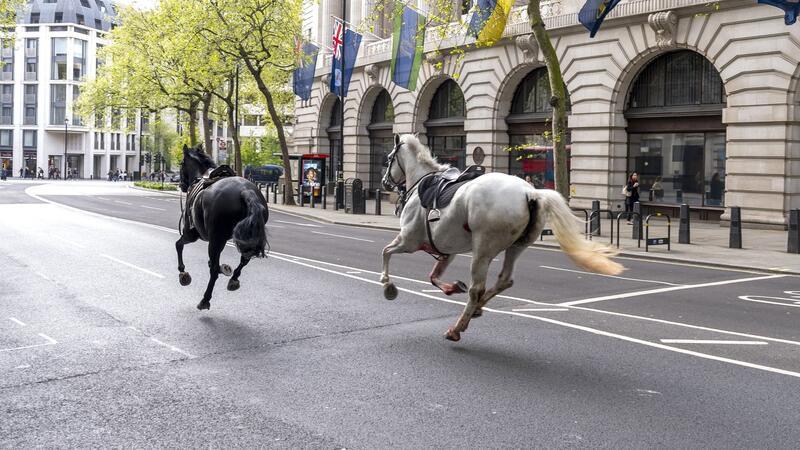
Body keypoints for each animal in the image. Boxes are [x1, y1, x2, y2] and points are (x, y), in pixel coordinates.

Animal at [176, 144, 268, 310]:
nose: (182, 185)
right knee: (245, 258)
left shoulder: (191, 234)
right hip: (245, 237)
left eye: (181, 164)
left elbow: (178, 245)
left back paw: (205, 299)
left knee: (213, 271)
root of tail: (245, 191)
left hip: (214, 240)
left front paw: (183, 273)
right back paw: (233, 279)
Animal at [382, 134, 624, 342]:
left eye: (389, 158)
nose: (385, 183)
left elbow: (386, 252)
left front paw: (387, 285)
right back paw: (477, 308)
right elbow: (433, 276)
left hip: (483, 249)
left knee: (477, 288)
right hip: (517, 245)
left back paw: (457, 327)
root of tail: (531, 192)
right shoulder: (446, 249)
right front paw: (452, 287)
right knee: (504, 280)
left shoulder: (408, 240)